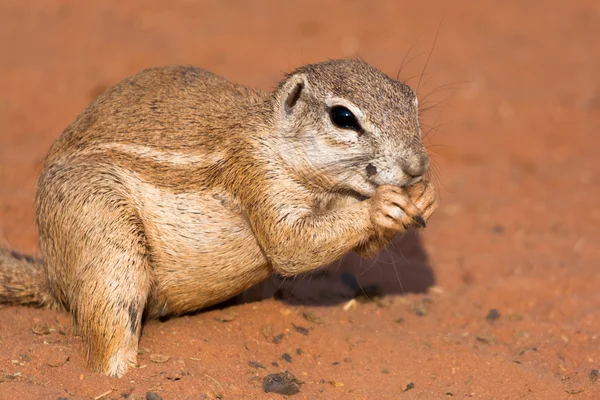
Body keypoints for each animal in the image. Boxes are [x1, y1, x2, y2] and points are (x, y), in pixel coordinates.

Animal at [0, 58, 436, 376]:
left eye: (411, 99)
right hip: (104, 237)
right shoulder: (257, 170)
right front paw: (379, 206)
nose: (418, 166)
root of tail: (53, 277)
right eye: (343, 117)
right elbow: (292, 246)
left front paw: (424, 198)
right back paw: (126, 373)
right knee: (108, 325)